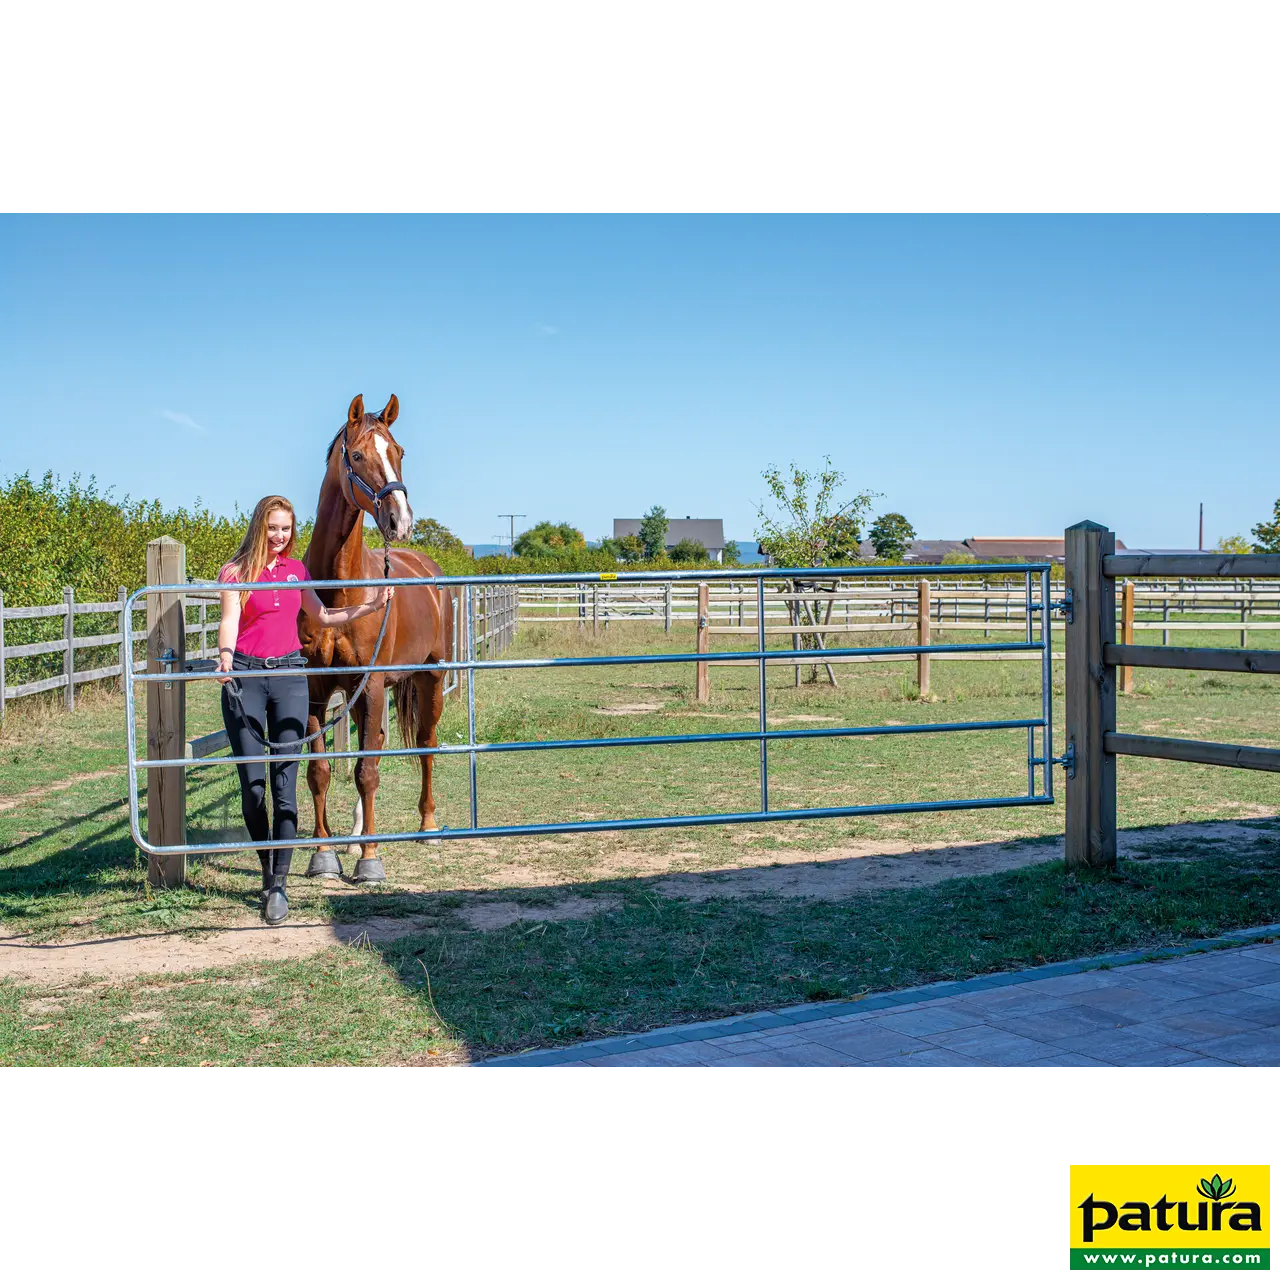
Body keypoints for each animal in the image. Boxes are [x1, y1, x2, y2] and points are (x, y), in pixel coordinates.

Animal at [299, 393, 455, 883]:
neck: (340, 591)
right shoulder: (317, 689)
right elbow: (321, 772)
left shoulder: (368, 685)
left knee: (424, 742)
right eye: (357, 455)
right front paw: (324, 854)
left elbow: (366, 773)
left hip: (428, 678)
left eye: (400, 451)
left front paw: (370, 861)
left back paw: (427, 825)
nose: (399, 520)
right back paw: (354, 835)